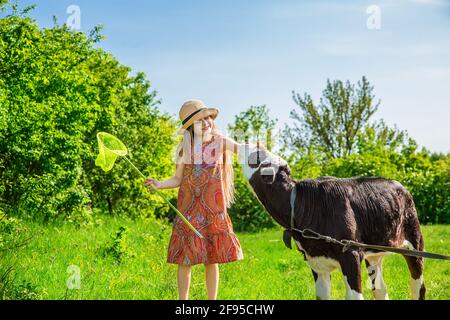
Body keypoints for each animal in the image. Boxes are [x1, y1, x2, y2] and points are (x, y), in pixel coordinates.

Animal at [237, 145, 428, 300]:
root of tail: (399, 185)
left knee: (418, 286)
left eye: (256, 156)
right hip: (375, 250)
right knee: (380, 289)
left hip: (414, 240)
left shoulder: (351, 253)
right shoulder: (315, 260)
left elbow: (354, 296)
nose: (241, 145)